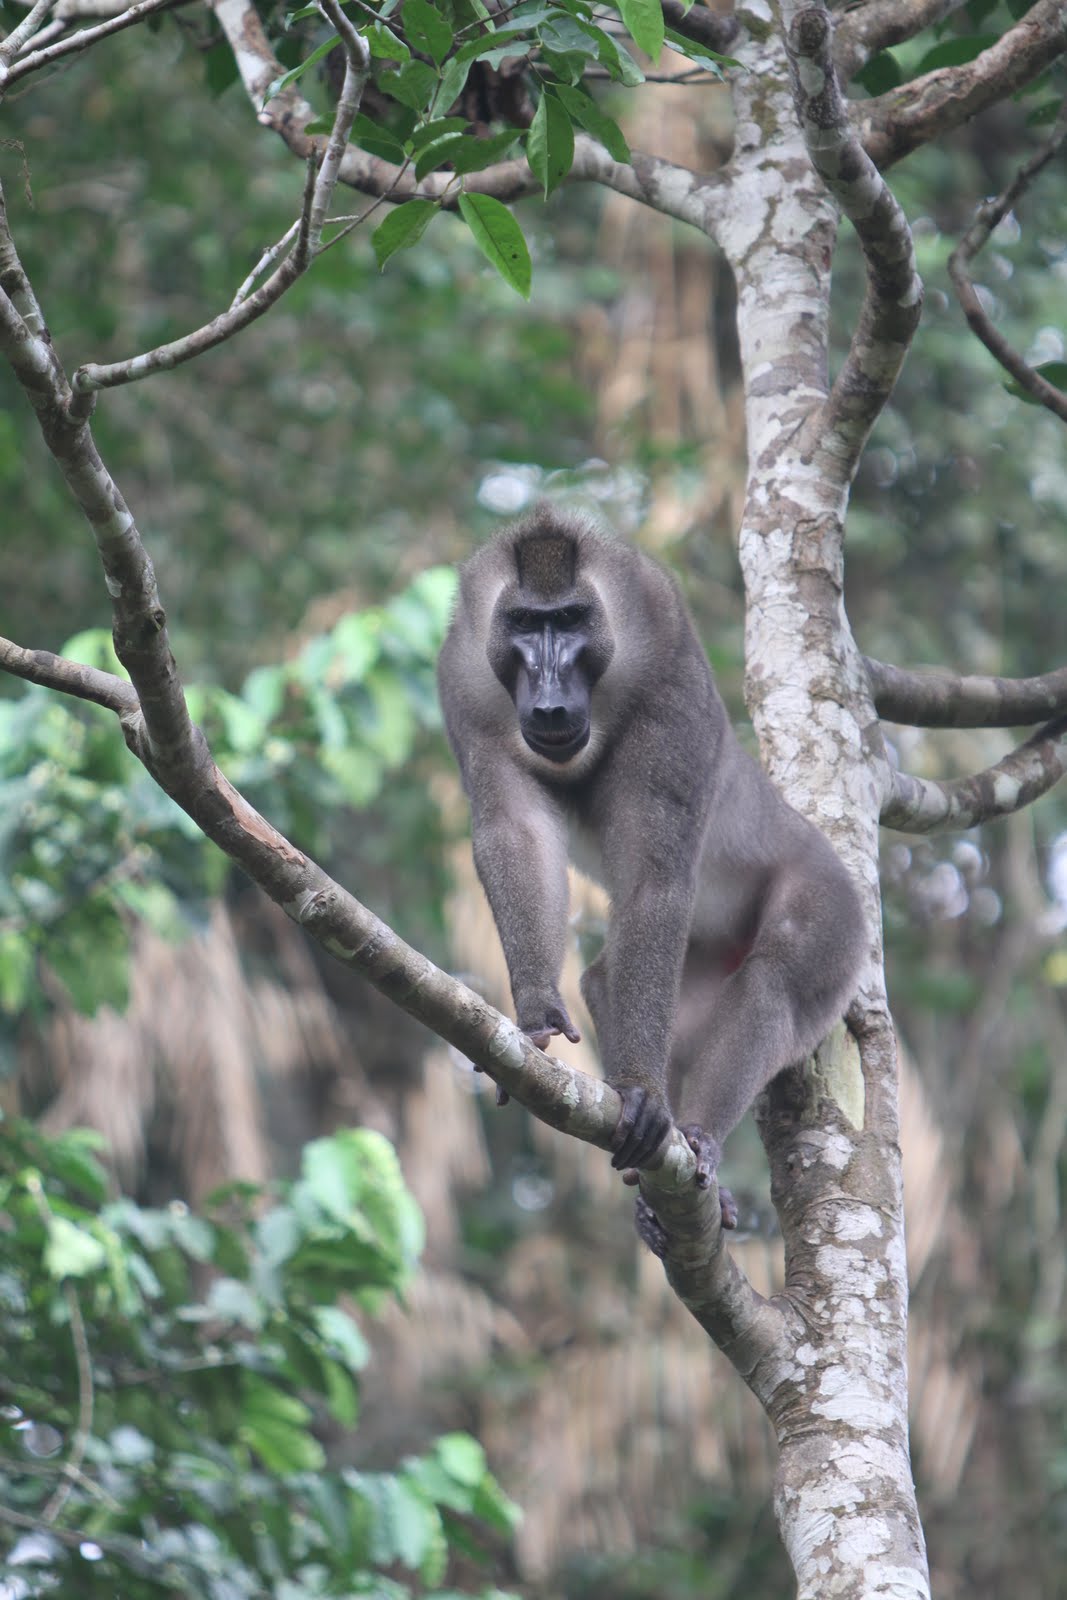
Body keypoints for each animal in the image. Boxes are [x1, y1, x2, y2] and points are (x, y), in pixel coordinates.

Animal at [437, 506, 865, 1251]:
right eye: (524, 624)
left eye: (571, 620)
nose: (549, 693)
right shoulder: (467, 684)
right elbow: (517, 833)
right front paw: (538, 1017)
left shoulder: (668, 673)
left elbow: (655, 878)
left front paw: (640, 1091)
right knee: (608, 979)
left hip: (830, 909)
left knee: (774, 981)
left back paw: (695, 1138)